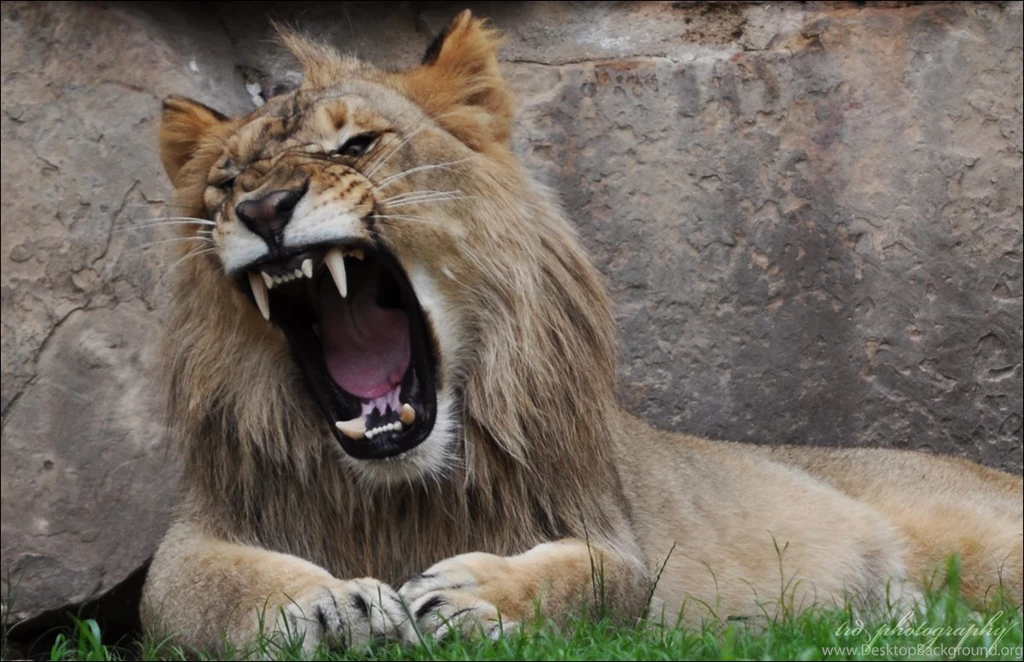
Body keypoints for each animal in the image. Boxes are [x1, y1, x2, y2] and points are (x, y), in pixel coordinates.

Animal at [140, 10, 1023, 654]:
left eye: (357, 144)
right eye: (225, 182)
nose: (263, 209)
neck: (399, 489)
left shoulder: (610, 532)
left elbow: (597, 581)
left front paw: (477, 596)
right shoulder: (196, 536)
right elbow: (193, 590)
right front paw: (325, 607)